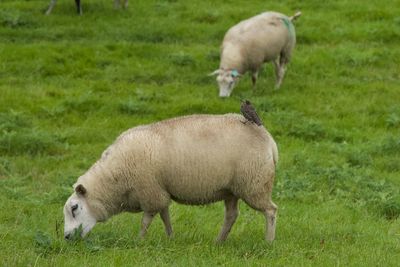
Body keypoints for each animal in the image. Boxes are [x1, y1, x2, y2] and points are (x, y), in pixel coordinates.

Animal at [64, 113, 280, 243]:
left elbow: (146, 220)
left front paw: (139, 240)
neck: (114, 179)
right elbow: (165, 215)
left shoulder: (150, 191)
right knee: (232, 215)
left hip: (255, 184)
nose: (66, 236)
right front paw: (170, 238)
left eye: (75, 208)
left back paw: (268, 241)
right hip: (232, 190)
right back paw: (219, 241)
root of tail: (268, 139)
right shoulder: (159, 191)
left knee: (270, 211)